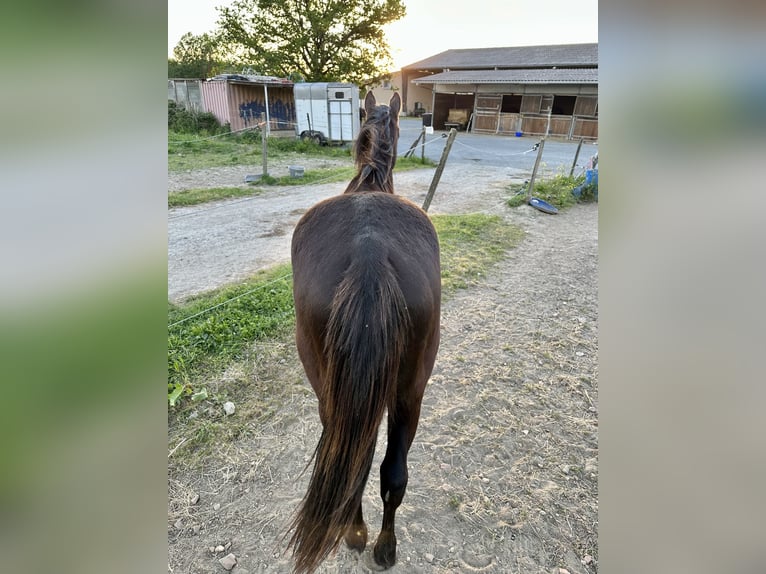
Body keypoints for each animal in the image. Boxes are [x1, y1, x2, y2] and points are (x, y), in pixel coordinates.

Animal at [287, 92, 441, 573]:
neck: (369, 185)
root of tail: (368, 251)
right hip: (407, 392)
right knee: (384, 469)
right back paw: (379, 545)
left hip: (340, 392)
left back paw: (363, 538)